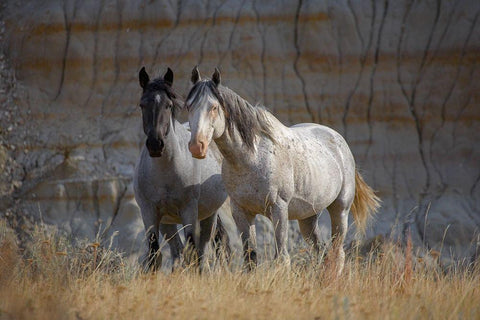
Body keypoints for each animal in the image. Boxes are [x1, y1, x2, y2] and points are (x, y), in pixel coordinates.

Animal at [133, 67, 231, 270]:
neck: (166, 173)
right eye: (142, 105)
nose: (155, 144)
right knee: (177, 251)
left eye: (168, 105)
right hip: (167, 222)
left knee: (202, 251)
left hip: (208, 216)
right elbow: (154, 255)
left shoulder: (189, 212)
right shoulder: (149, 213)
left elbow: (193, 252)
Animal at [186, 67, 380, 272]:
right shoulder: (241, 211)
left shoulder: (278, 208)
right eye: (188, 106)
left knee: (337, 254)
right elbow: (251, 258)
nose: (196, 146)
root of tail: (338, 140)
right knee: (321, 253)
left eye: (214, 107)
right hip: (308, 218)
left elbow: (282, 257)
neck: (252, 157)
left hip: (340, 210)